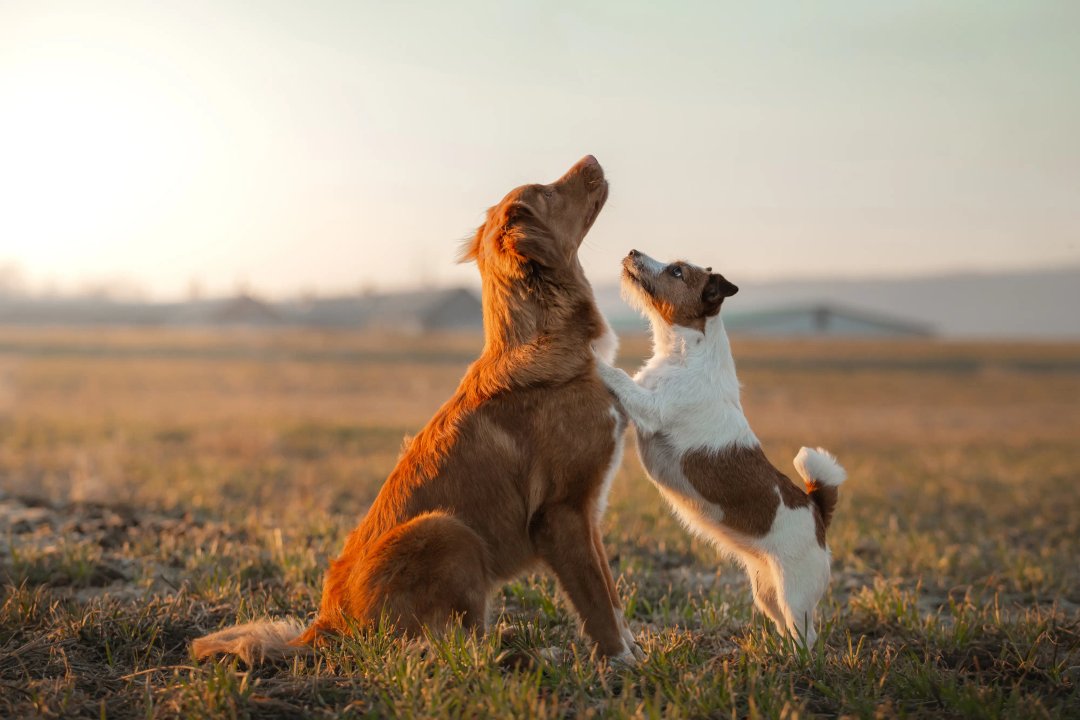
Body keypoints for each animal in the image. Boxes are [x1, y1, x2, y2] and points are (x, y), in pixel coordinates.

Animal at [194, 156, 639, 664]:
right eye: (547, 192)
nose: (592, 159)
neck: (544, 336)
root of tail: (325, 627)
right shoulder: (562, 512)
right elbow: (596, 600)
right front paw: (621, 663)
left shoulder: (588, 513)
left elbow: (610, 592)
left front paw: (632, 650)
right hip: (449, 531)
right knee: (455, 648)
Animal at [596, 250, 846, 643]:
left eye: (677, 272)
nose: (633, 252)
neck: (686, 352)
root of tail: (817, 511)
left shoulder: (651, 409)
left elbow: (617, 375)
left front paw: (590, 356)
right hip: (766, 591)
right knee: (783, 627)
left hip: (796, 596)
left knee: (806, 637)